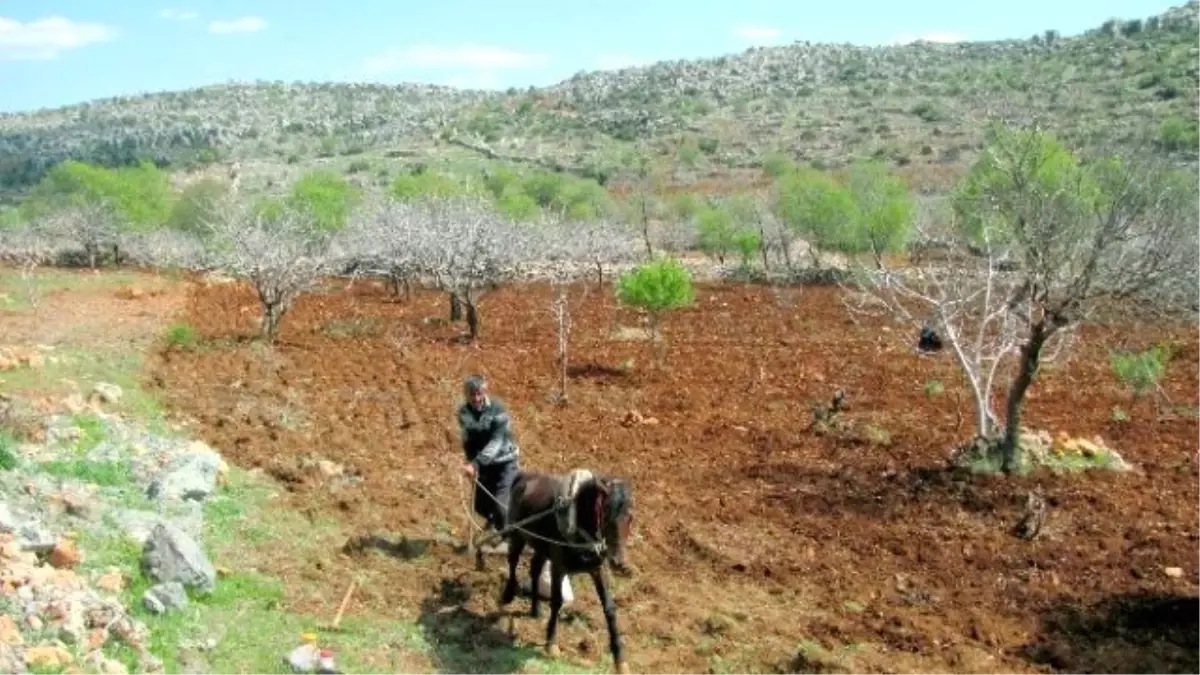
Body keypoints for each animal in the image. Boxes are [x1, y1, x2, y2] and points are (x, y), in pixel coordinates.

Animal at [496, 468, 638, 672]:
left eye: (631, 517)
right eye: (606, 515)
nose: (619, 563)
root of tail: (525, 475)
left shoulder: (598, 568)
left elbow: (609, 608)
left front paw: (620, 661)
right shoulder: (558, 567)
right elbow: (556, 601)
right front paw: (551, 644)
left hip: (541, 546)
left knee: (535, 568)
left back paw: (535, 609)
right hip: (517, 535)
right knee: (513, 561)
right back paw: (508, 595)